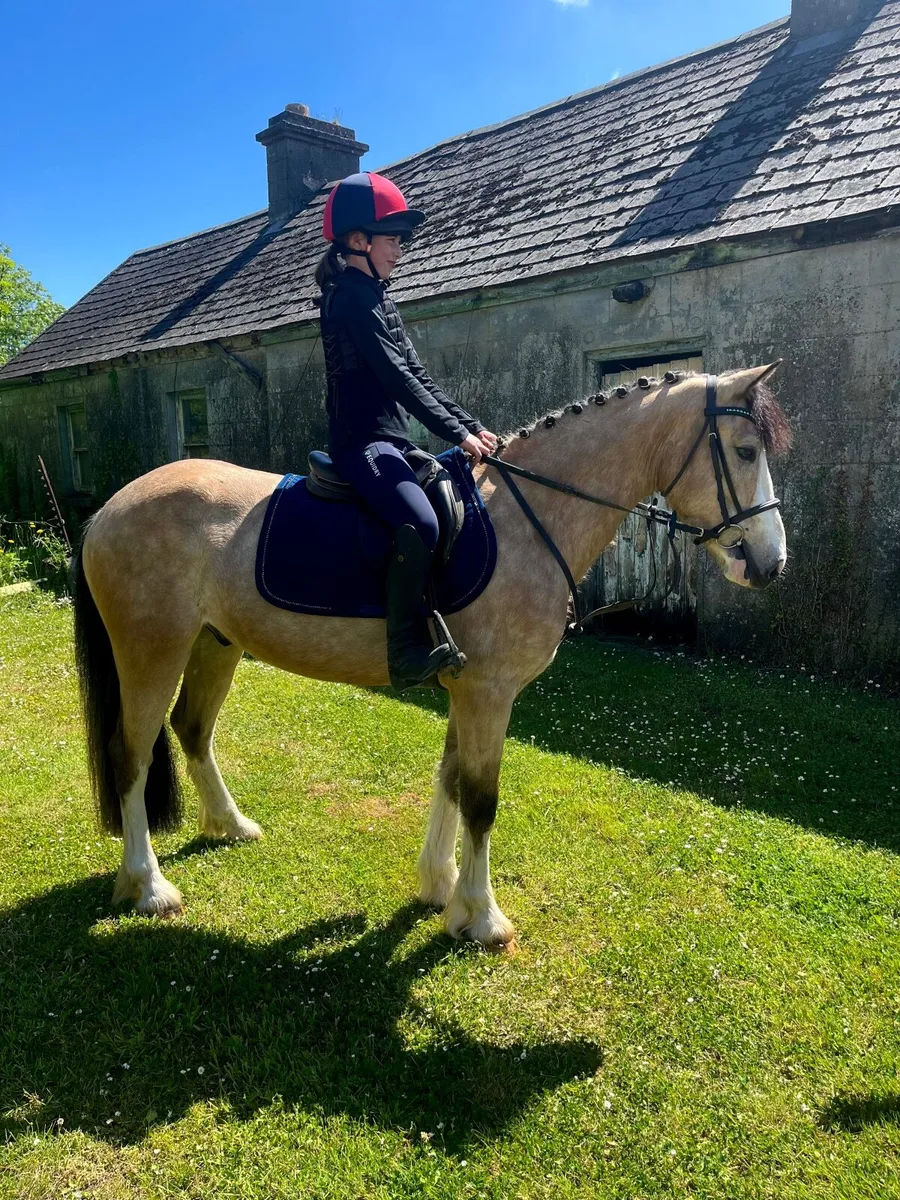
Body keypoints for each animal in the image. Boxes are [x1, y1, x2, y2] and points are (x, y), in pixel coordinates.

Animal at [71, 364, 791, 949]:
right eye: (745, 449)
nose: (770, 563)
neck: (528, 517)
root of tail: (108, 509)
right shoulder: (490, 693)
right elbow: (480, 799)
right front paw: (482, 917)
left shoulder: (465, 689)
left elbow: (449, 780)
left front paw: (440, 889)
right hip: (151, 651)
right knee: (131, 755)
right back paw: (147, 885)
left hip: (214, 645)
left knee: (192, 730)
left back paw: (230, 825)